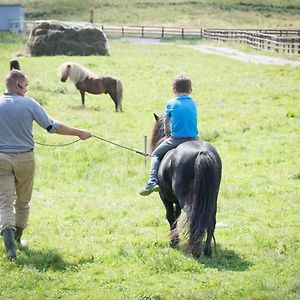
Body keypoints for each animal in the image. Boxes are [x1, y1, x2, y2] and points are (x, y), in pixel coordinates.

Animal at [151, 113, 221, 256]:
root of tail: (202, 153)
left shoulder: (164, 197)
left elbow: (170, 216)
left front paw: (173, 242)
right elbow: (176, 216)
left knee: (194, 218)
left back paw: (194, 250)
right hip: (212, 199)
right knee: (210, 220)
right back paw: (207, 251)